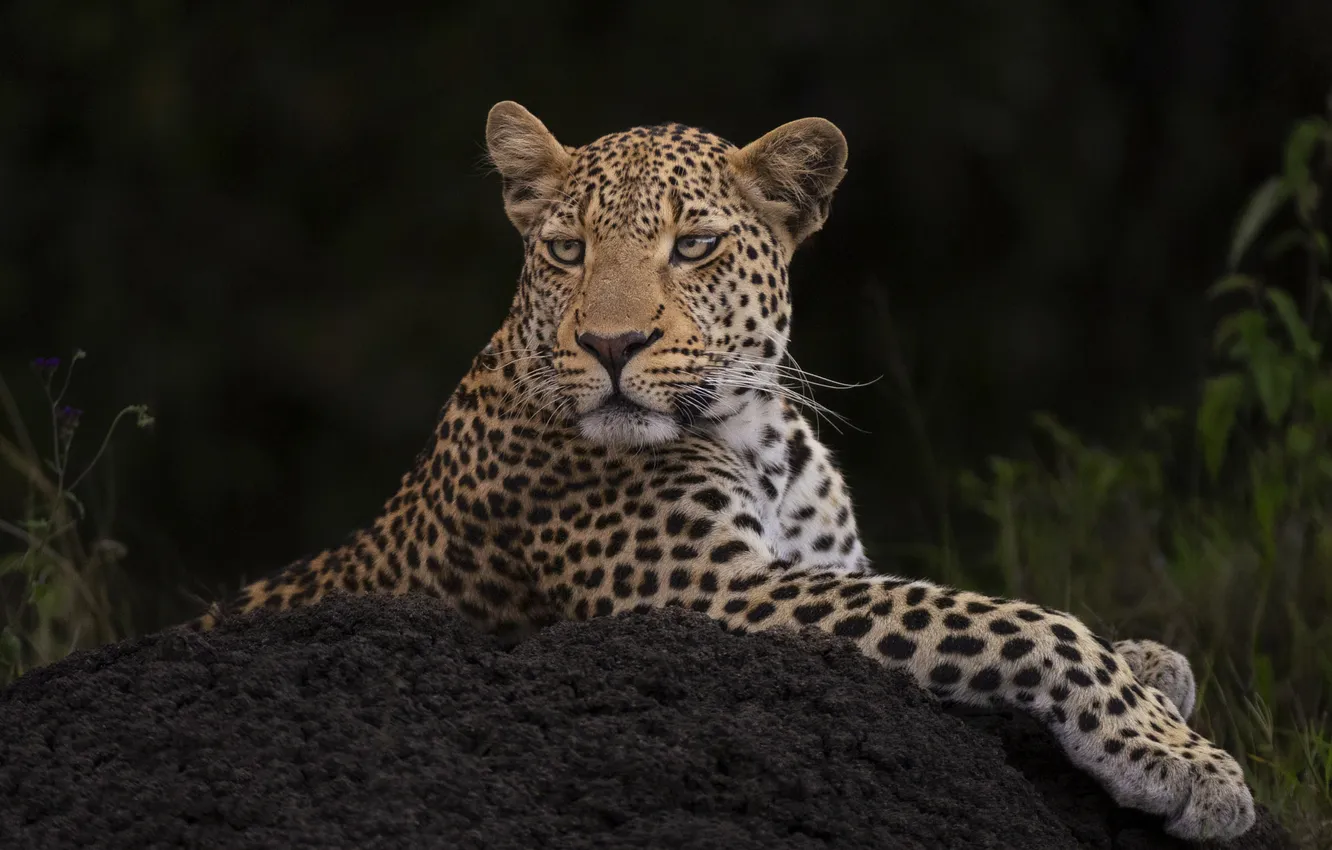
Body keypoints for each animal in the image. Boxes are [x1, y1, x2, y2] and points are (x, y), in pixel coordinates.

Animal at [194, 101, 1255, 842]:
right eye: (568, 250)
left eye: (694, 244)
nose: (611, 344)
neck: (755, 431)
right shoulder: (711, 594)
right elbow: (1011, 619)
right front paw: (1181, 759)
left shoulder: (819, 567)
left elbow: (979, 602)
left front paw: (1153, 662)